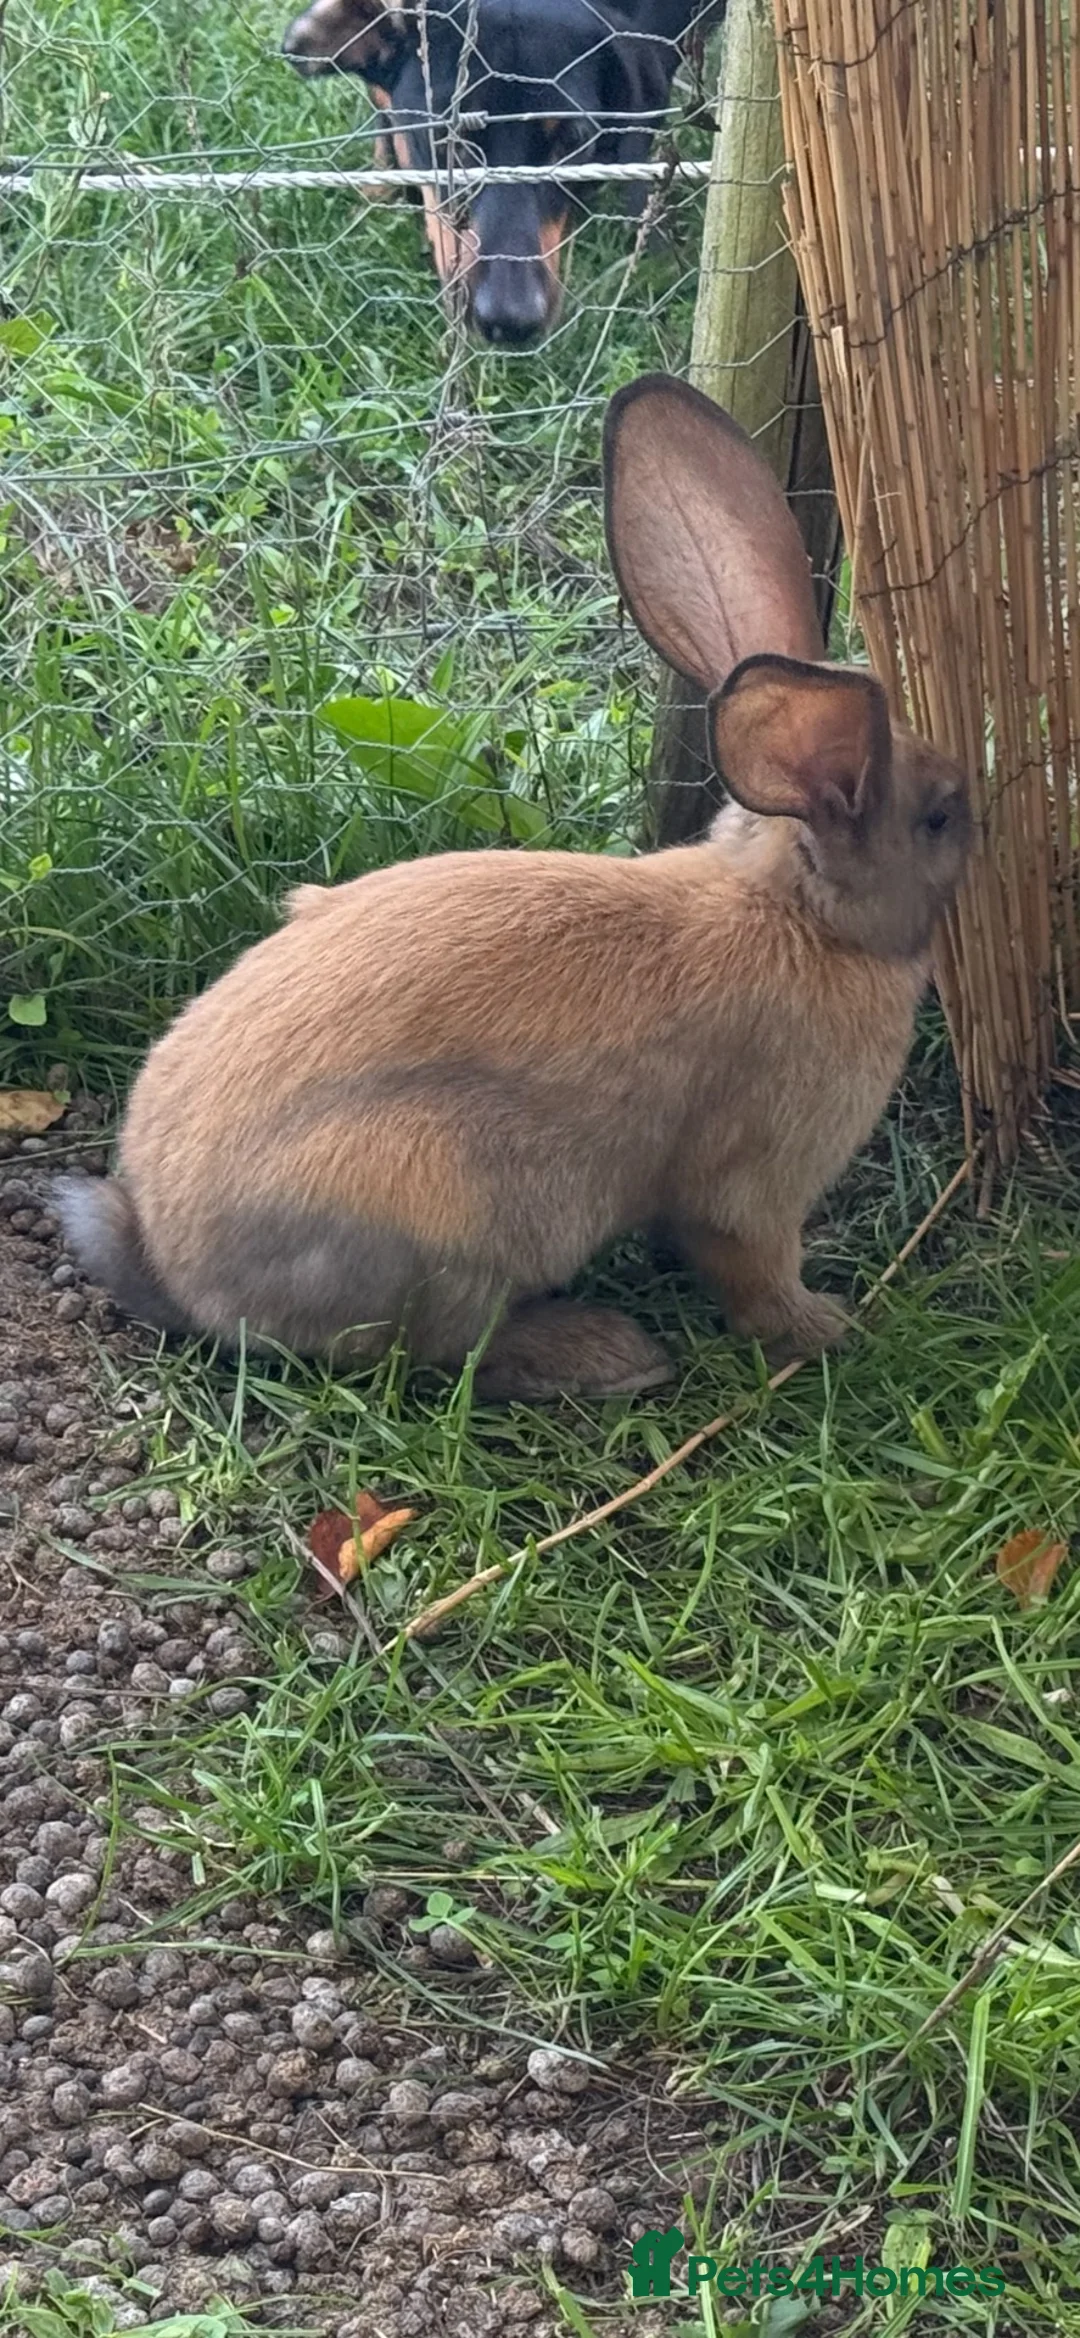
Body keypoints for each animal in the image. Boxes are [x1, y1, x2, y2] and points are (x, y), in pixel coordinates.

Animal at [58, 373, 972, 1401]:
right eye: (939, 817)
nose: (978, 810)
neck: (801, 913)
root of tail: (182, 1272)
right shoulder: (754, 1187)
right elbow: (748, 1266)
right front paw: (825, 1329)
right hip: (442, 1205)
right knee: (444, 1352)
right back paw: (607, 1354)